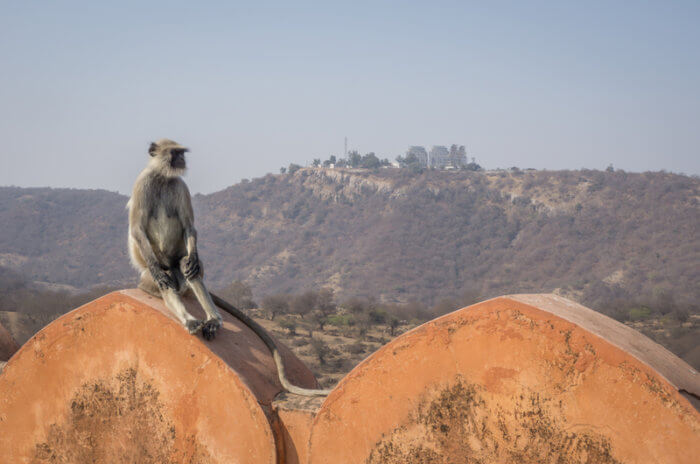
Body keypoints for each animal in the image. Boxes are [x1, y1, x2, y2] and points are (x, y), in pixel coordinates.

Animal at [128, 140, 221, 338]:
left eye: (182, 153)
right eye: (174, 153)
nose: (182, 159)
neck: (163, 177)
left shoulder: (180, 185)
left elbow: (188, 226)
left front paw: (192, 258)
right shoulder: (142, 182)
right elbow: (137, 229)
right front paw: (157, 271)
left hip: (179, 262)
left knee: (187, 266)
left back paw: (213, 320)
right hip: (154, 270)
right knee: (165, 278)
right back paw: (189, 320)